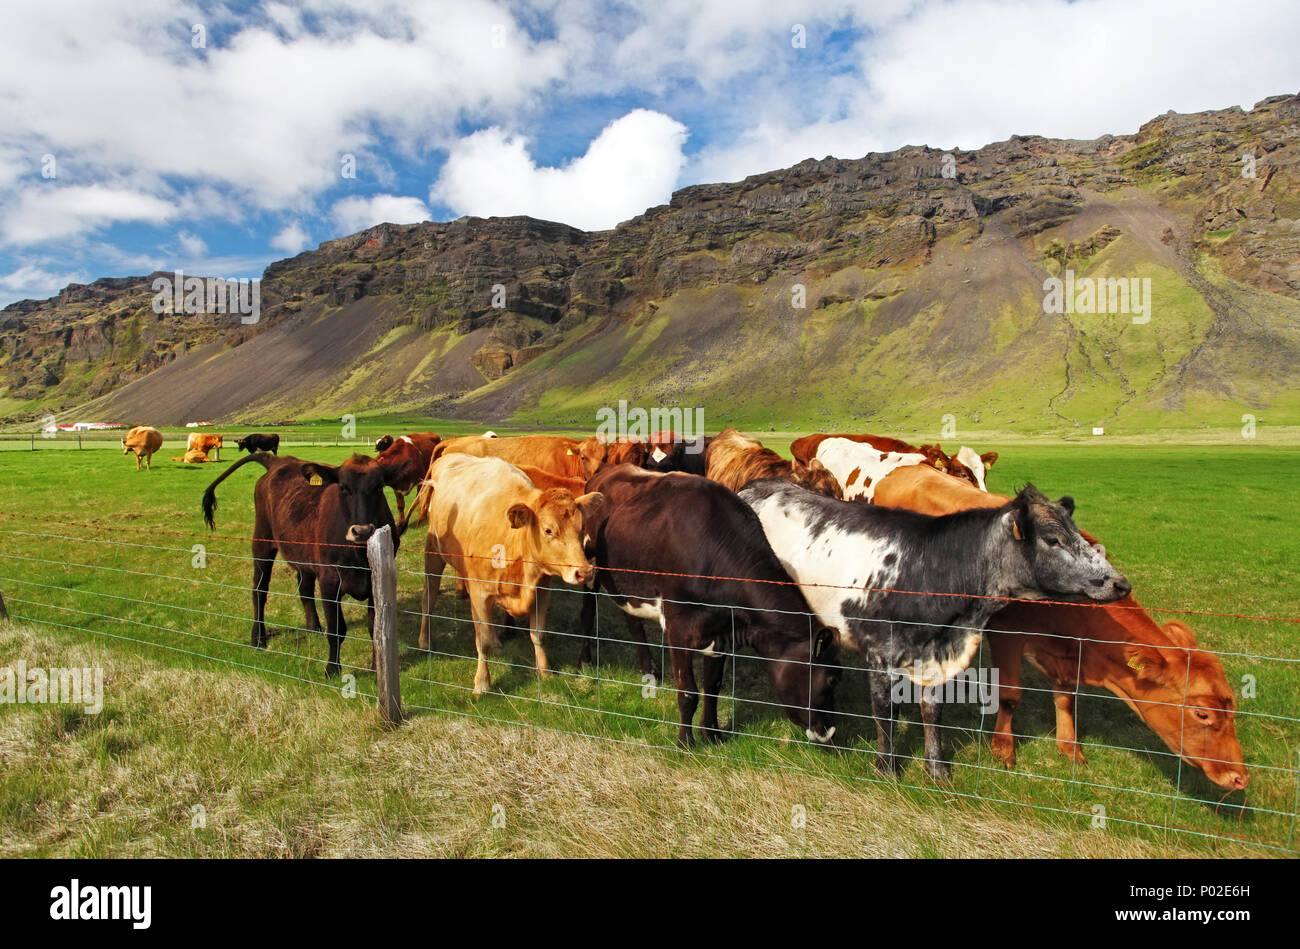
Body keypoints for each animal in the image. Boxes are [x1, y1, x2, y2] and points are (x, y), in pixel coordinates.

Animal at [197, 449, 397, 676]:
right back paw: (258, 638)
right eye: (343, 487)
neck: (358, 555)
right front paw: (332, 669)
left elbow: (375, 628)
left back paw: (313, 627)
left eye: (379, 487)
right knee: (259, 590)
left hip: (302, 555)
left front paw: (376, 668)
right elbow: (336, 629)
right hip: (262, 542)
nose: (361, 531)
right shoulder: (329, 581)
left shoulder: (375, 581)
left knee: (304, 588)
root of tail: (279, 461)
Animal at [408, 449, 605, 696]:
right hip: (433, 553)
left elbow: (537, 634)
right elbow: (481, 640)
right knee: (429, 597)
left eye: (581, 528)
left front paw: (545, 671)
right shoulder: (479, 593)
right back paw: (424, 641)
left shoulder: (542, 590)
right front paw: (482, 683)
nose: (584, 572)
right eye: (548, 530)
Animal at [582, 465, 842, 748]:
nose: (829, 733)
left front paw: (713, 733)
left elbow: (713, 687)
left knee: (632, 619)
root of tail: (606, 470)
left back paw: (649, 669)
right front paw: (685, 743)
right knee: (587, 609)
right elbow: (688, 692)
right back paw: (584, 658)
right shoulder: (678, 626)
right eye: (831, 679)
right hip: (587, 565)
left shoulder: (721, 632)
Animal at [743, 475, 1128, 780]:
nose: (1120, 583)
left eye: (1079, 535)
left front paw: (937, 768)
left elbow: (933, 712)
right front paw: (886, 768)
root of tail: (758, 486)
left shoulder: (937, 658)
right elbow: (886, 712)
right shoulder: (880, 655)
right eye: (1052, 539)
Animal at [863, 457, 1248, 790]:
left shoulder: (1067, 654)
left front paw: (1070, 748)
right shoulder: (1007, 635)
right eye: (1201, 714)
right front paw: (1004, 749)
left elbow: (1065, 697)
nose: (1240, 777)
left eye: (1231, 709)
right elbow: (1011, 696)